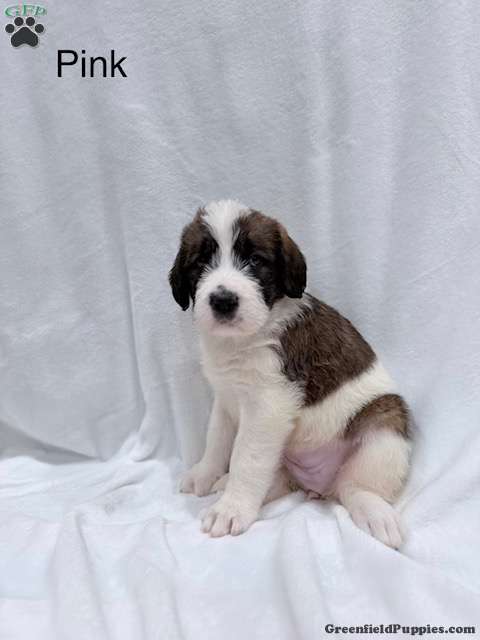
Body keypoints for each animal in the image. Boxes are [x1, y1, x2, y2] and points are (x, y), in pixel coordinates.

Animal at [169, 200, 411, 548]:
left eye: (255, 260)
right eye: (201, 261)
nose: (223, 301)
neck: (245, 339)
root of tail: (320, 486)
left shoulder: (268, 407)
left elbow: (247, 459)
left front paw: (232, 508)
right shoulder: (225, 399)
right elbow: (216, 440)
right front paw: (205, 474)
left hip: (385, 424)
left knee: (354, 488)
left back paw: (374, 511)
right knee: (284, 479)